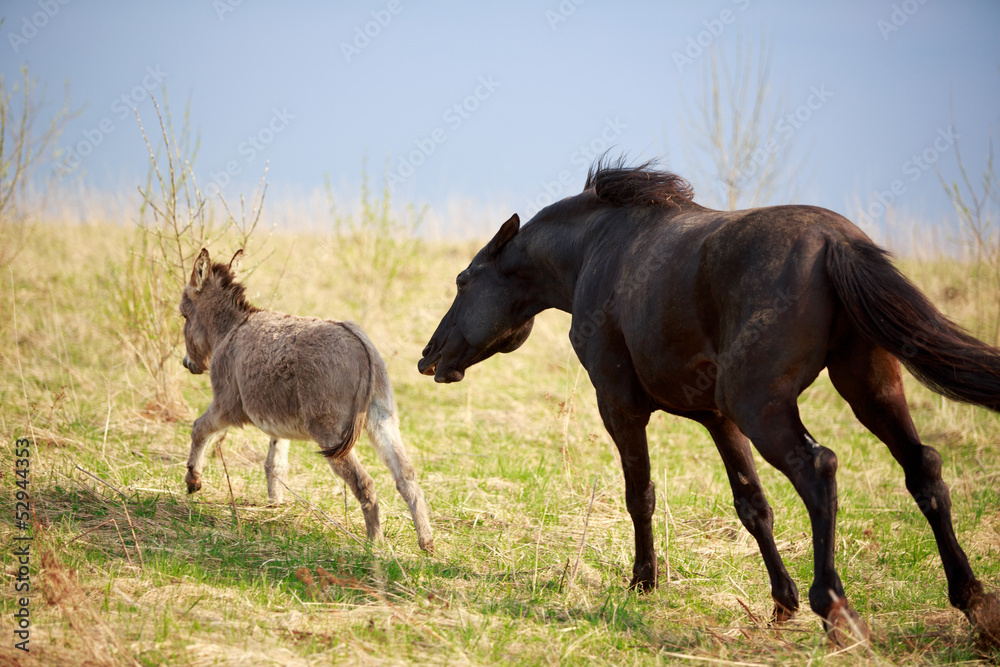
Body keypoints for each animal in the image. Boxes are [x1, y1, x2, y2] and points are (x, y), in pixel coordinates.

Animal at [180, 248, 433, 552]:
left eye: (183, 316)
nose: (187, 364)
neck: (231, 328)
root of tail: (360, 345)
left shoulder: (226, 405)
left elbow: (199, 428)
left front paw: (193, 481)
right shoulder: (278, 423)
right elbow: (274, 464)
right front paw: (274, 506)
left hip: (329, 433)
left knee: (364, 482)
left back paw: (374, 544)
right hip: (382, 420)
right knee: (405, 474)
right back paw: (426, 542)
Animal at [417, 159, 1000, 644]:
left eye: (463, 280)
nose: (428, 357)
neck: (597, 248)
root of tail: (835, 241)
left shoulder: (620, 406)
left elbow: (640, 496)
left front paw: (643, 583)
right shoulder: (719, 420)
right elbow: (753, 506)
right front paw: (780, 604)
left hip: (764, 407)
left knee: (820, 470)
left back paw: (837, 611)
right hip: (869, 389)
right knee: (923, 468)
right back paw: (974, 604)